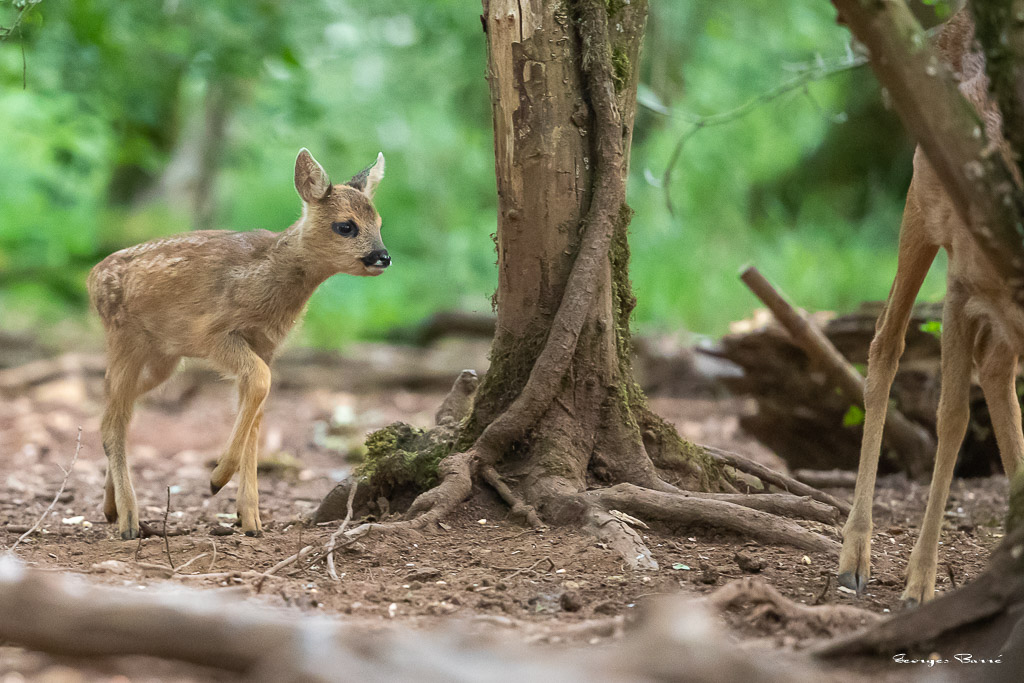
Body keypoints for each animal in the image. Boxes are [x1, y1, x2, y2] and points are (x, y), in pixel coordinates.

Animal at [87, 149, 389, 539]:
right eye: (346, 226)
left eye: (379, 222)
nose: (383, 256)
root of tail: (92, 278)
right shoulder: (214, 334)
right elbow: (260, 383)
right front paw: (217, 479)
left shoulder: (266, 346)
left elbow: (257, 416)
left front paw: (250, 520)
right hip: (126, 337)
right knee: (113, 420)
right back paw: (128, 519)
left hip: (162, 357)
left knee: (116, 410)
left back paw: (111, 507)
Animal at [838, 7, 1024, 606]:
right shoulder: (961, 286)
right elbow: (952, 418)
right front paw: (919, 582)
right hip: (920, 198)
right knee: (885, 340)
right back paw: (854, 557)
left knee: (995, 371)